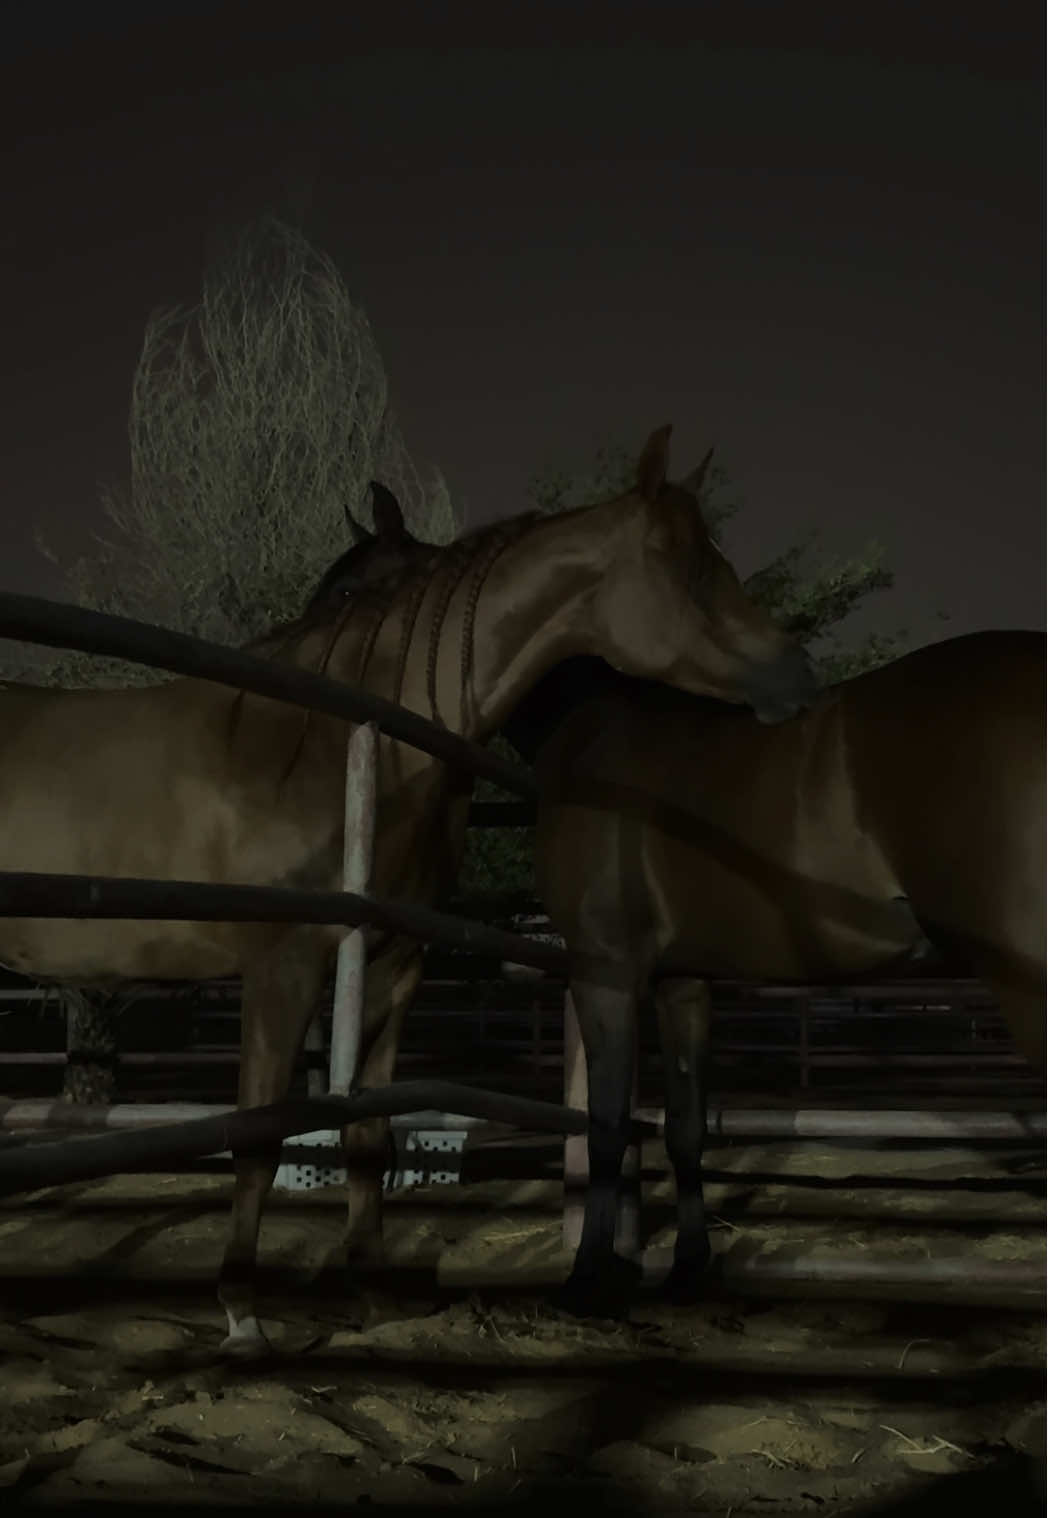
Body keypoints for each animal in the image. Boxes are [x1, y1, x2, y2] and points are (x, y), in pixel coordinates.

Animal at [0, 425, 816, 1350]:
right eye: (687, 565)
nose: (796, 675)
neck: (336, 745)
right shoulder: (280, 966)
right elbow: (259, 1135)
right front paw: (242, 1309)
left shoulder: (393, 963)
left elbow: (369, 1132)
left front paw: (371, 1291)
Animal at [500, 634, 1046, 1316]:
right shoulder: (682, 982)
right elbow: (684, 1126)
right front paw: (688, 1268)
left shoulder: (604, 972)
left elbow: (605, 1127)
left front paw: (587, 1278)